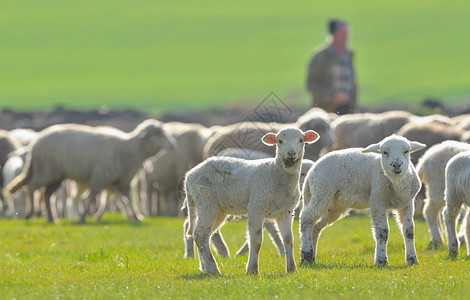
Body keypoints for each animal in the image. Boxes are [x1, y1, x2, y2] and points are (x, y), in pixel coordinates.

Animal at [6, 119, 175, 223]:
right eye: (157, 133)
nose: (173, 144)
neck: (129, 149)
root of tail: (35, 143)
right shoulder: (99, 177)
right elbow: (92, 195)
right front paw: (82, 217)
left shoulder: (122, 181)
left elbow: (127, 199)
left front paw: (137, 216)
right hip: (46, 170)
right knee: (32, 187)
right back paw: (31, 214)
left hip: (56, 175)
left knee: (46, 194)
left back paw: (52, 218)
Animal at [184, 126, 320, 274]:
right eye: (279, 141)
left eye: (301, 140)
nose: (291, 153)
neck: (275, 173)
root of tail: (189, 175)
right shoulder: (256, 206)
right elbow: (256, 240)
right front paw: (252, 269)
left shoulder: (285, 211)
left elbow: (288, 240)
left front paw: (291, 269)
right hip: (206, 202)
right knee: (200, 234)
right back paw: (213, 269)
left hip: (218, 210)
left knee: (203, 235)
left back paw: (205, 268)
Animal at [302, 135, 426, 266]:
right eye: (384, 152)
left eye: (406, 151)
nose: (396, 165)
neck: (397, 184)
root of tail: (311, 172)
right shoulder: (377, 201)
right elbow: (382, 232)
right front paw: (381, 260)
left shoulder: (407, 203)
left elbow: (409, 231)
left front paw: (412, 260)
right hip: (321, 192)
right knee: (306, 219)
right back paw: (305, 256)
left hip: (334, 206)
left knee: (316, 227)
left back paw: (312, 257)